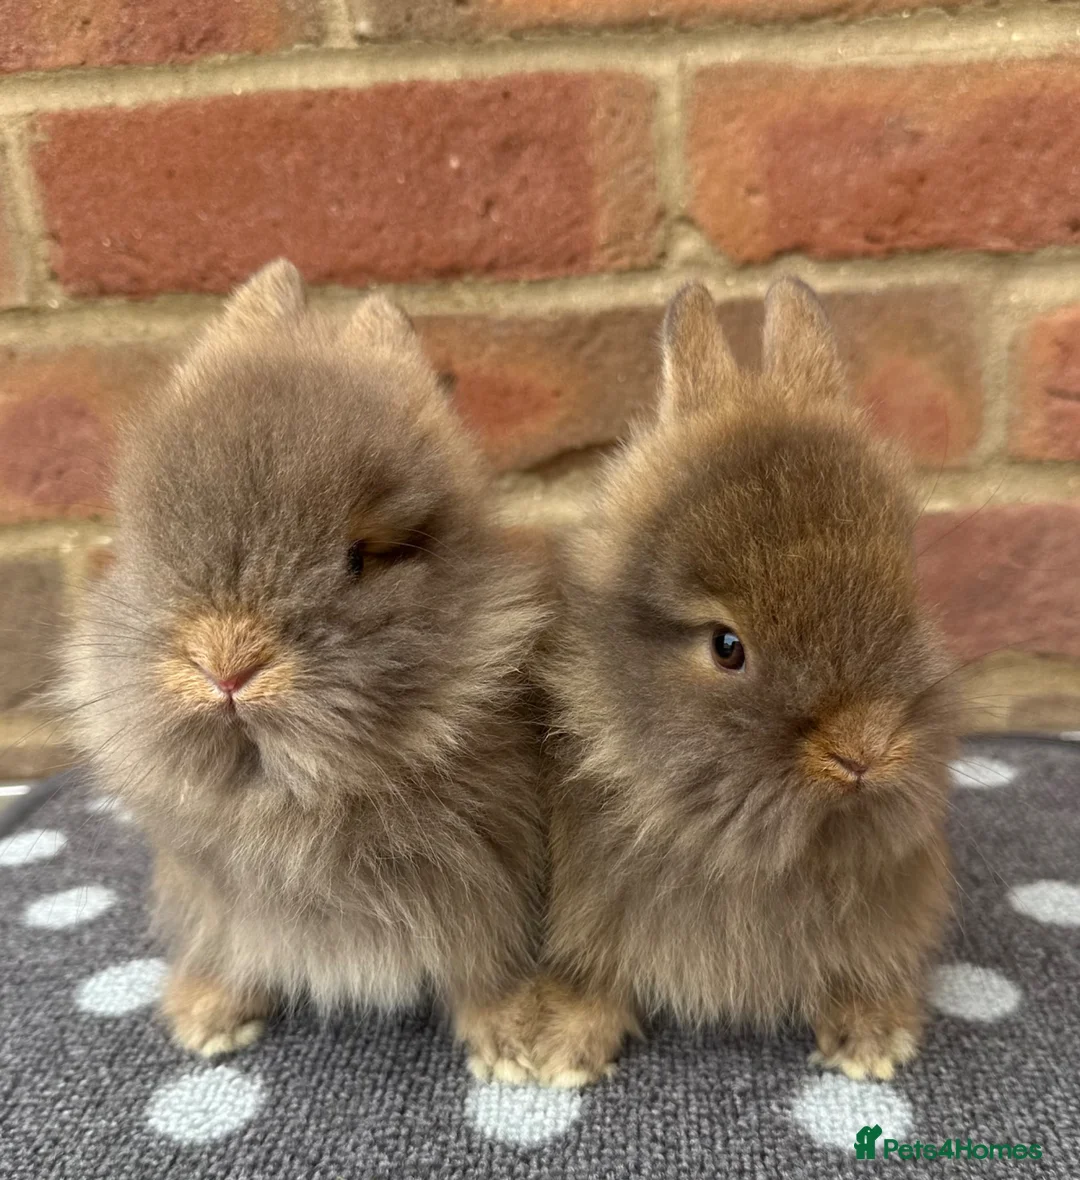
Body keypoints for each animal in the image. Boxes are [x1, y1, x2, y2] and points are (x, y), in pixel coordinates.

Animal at [60, 260, 547, 1080]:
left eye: (360, 558)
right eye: (148, 534)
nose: (227, 664)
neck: (286, 791)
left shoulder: (491, 888)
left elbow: (485, 969)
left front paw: (516, 1044)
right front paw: (206, 1019)